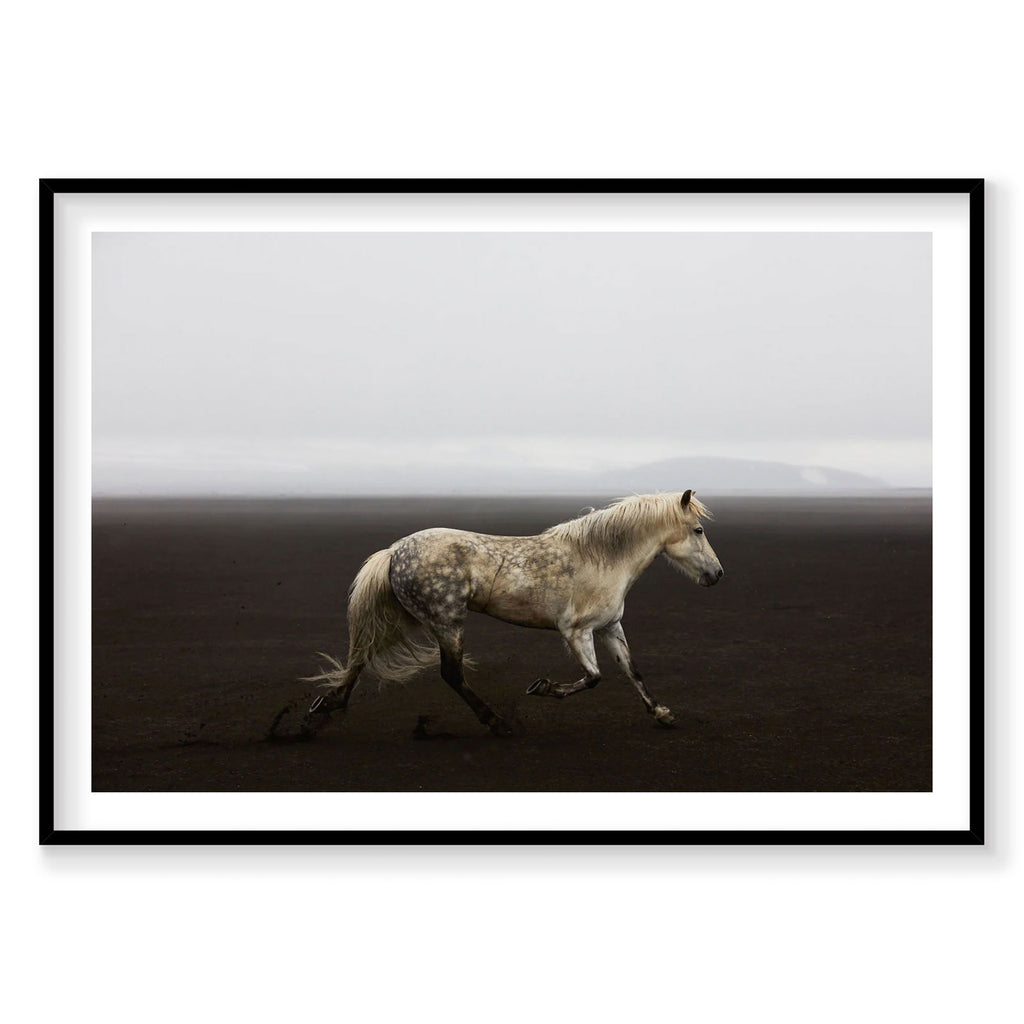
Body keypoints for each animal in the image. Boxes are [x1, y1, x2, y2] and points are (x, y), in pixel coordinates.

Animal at [302, 490, 723, 737]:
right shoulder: (576, 631)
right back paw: (496, 722)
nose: (717, 574)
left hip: (409, 618)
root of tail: (394, 552)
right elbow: (593, 678)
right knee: (450, 674)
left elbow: (632, 672)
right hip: (447, 622)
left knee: (362, 655)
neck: (603, 559)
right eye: (698, 530)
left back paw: (324, 709)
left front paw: (663, 714)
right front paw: (543, 688)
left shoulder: (609, 627)